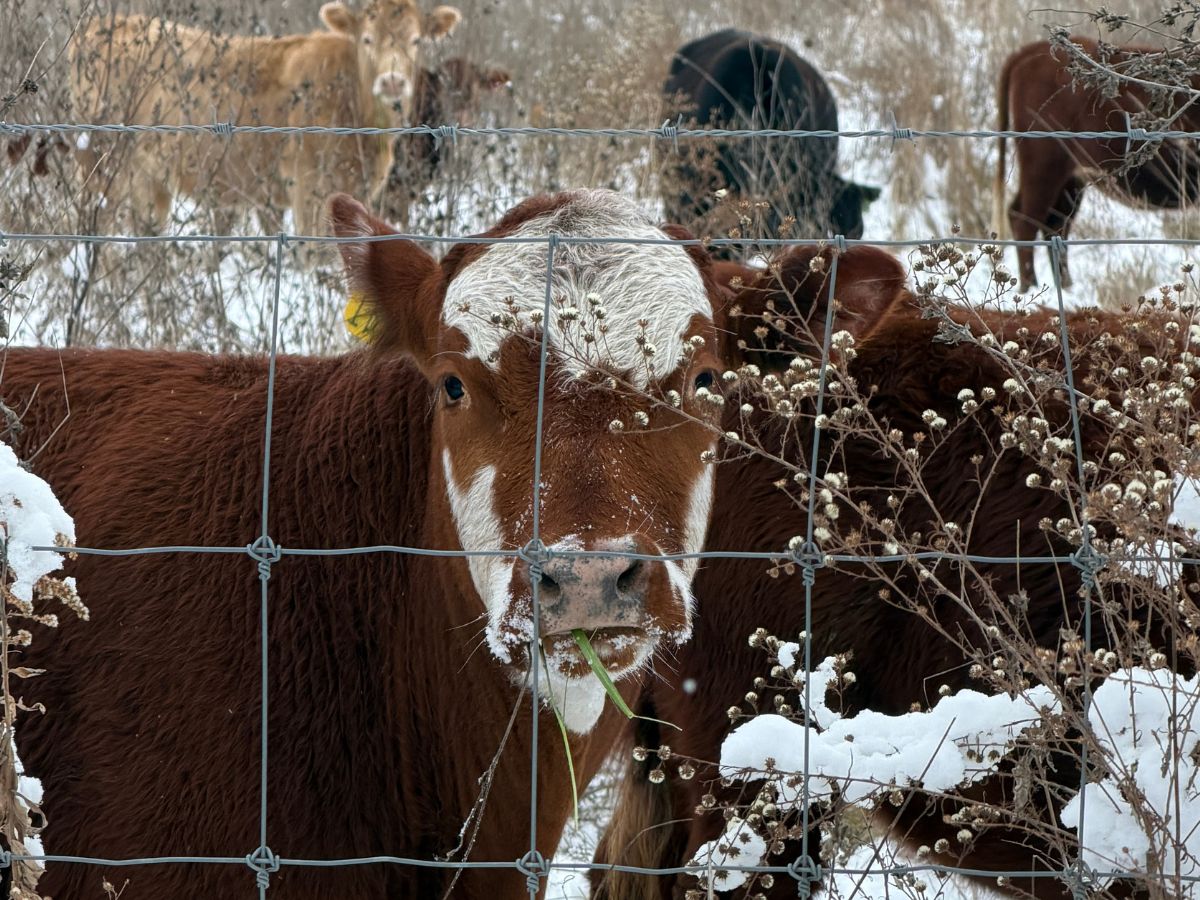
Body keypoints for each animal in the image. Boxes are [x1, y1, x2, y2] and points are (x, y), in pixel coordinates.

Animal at [69, 1, 461, 235]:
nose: (392, 81)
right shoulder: (309, 192)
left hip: (151, 181)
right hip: (100, 167)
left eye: (416, 41)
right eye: (367, 39)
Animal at [993, 37, 1200, 293]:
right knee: (1025, 221)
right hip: (1043, 169)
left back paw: (1065, 287)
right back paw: (1030, 289)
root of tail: (1029, 50)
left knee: (1055, 224)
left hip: (1070, 180)